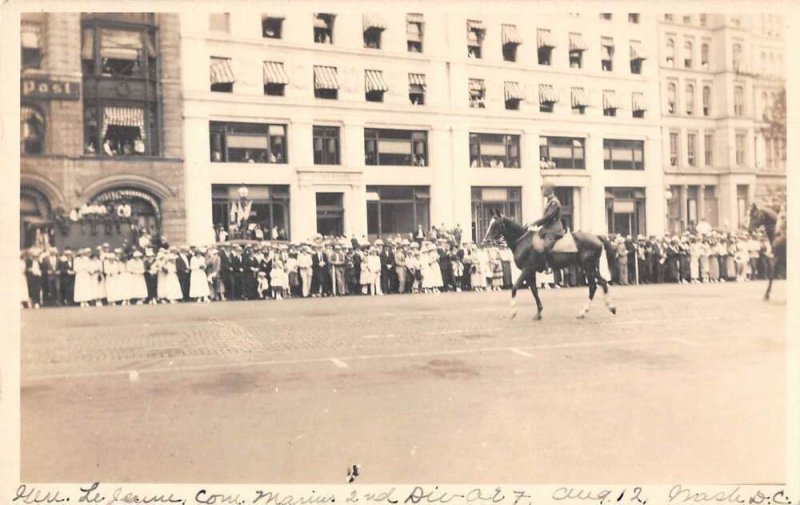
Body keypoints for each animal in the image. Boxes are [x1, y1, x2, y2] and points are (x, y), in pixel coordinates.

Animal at [482, 211, 620, 320]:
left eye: (495, 225)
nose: (485, 241)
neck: (522, 241)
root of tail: (597, 237)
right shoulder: (531, 272)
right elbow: (534, 290)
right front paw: (539, 313)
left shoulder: (527, 269)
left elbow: (515, 287)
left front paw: (512, 312)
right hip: (590, 267)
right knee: (601, 283)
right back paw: (608, 308)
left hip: (588, 267)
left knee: (594, 286)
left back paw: (585, 311)